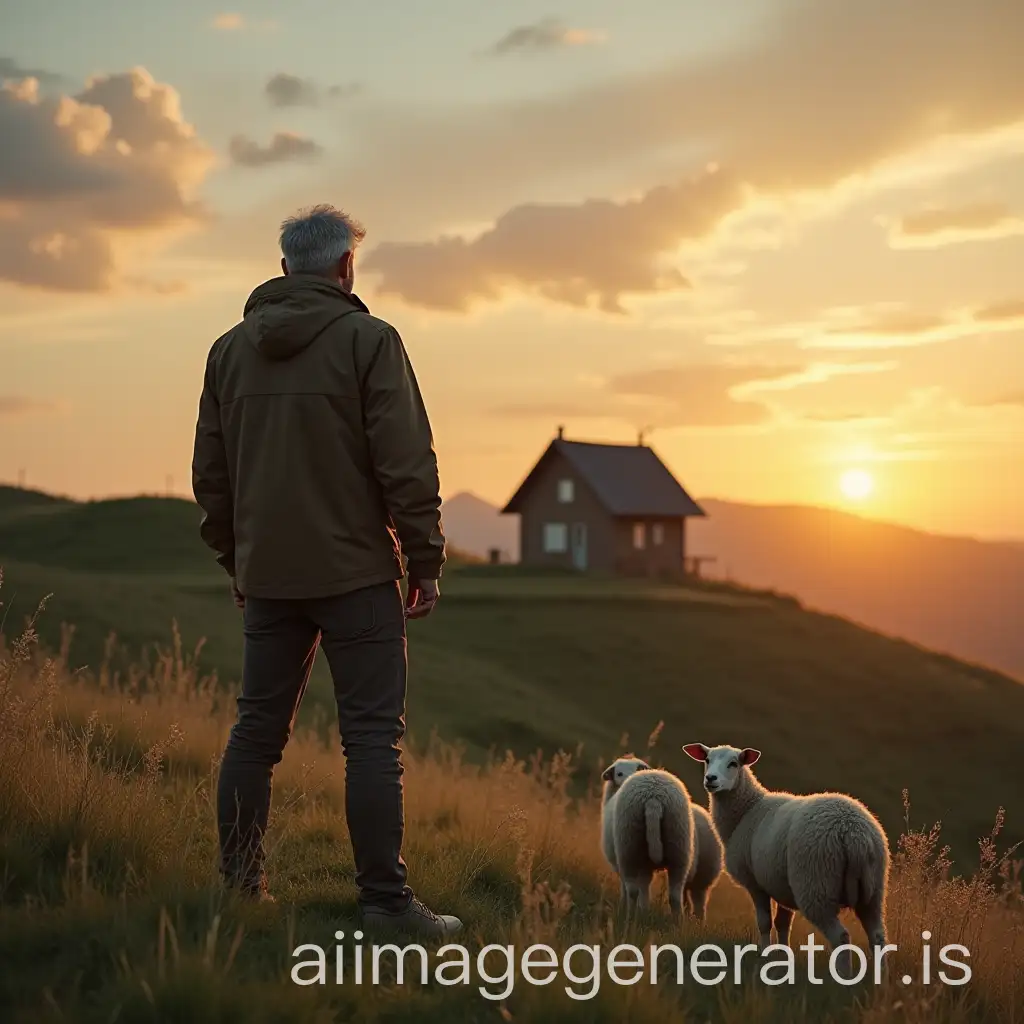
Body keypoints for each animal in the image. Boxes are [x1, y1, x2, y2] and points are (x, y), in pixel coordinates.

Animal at [598, 753, 720, 921]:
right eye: (619, 773)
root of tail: (653, 797)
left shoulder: (622, 864)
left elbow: (628, 889)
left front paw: (627, 907)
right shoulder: (646, 865)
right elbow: (645, 887)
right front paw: (644, 909)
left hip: (628, 848)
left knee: (632, 890)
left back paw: (629, 917)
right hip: (679, 847)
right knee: (678, 896)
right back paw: (678, 922)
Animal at [679, 745, 888, 974]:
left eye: (734, 764)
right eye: (707, 760)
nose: (711, 779)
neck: (746, 811)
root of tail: (853, 832)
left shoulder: (755, 884)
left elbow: (764, 923)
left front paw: (763, 956)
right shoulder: (781, 887)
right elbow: (782, 924)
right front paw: (782, 960)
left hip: (816, 885)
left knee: (841, 937)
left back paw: (843, 977)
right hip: (874, 890)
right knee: (878, 937)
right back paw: (881, 979)